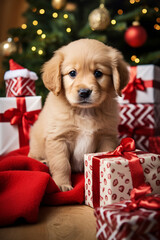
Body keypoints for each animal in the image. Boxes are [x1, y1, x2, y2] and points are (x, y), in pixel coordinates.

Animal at [28, 39, 129, 191]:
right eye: (72, 73)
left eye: (98, 73)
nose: (84, 92)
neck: (85, 111)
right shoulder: (58, 139)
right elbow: (61, 164)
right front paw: (62, 184)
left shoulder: (107, 137)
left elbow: (104, 155)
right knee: (32, 156)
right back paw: (44, 161)